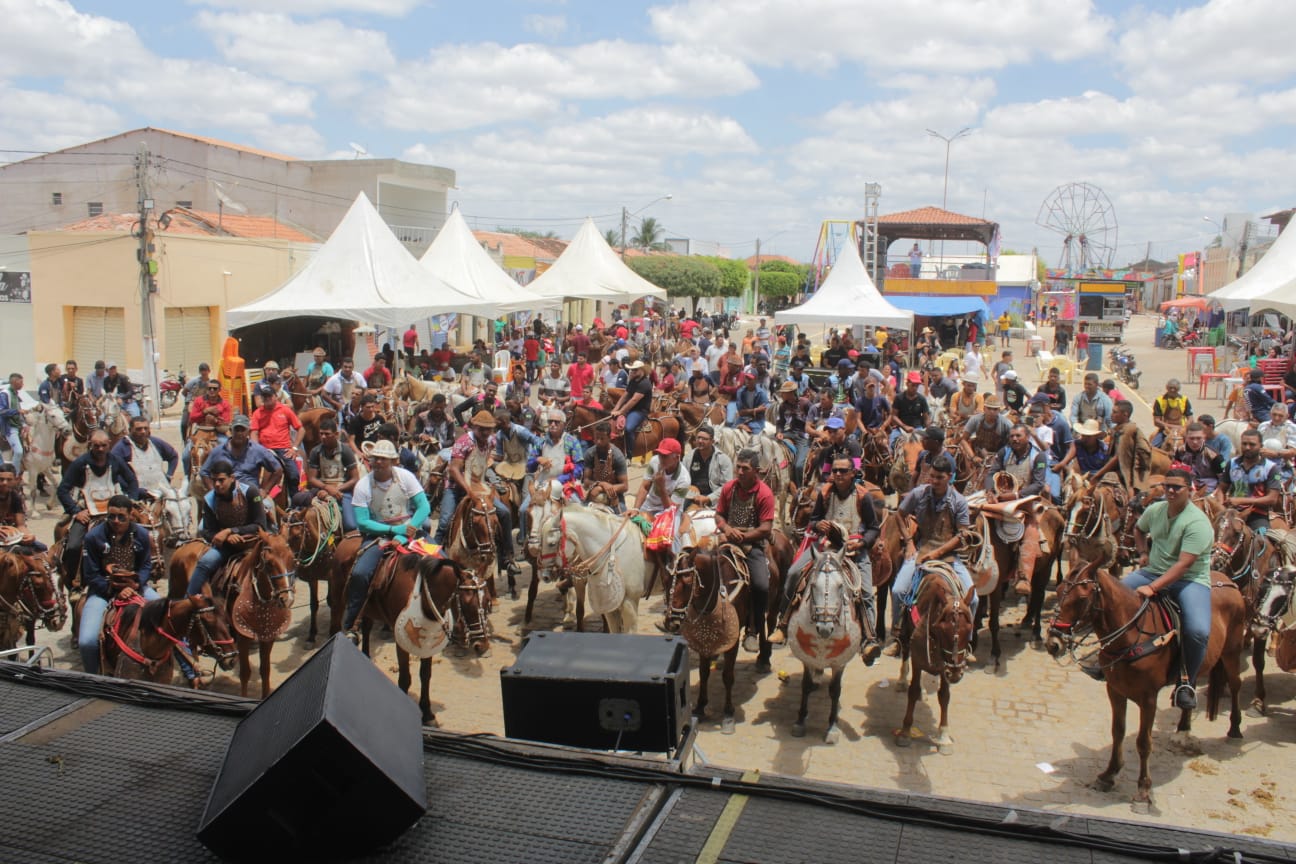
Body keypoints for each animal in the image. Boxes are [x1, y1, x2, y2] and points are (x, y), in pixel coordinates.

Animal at [168, 533, 295, 704]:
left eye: (292, 559)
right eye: (268, 564)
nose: (287, 599)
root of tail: (186, 544)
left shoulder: (268, 637)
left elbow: (265, 670)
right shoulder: (242, 637)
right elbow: (245, 672)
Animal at [896, 564, 974, 751]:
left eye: (969, 628)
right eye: (941, 629)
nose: (955, 673)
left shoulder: (943, 666)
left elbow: (944, 696)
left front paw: (943, 736)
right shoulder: (918, 659)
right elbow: (913, 690)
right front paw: (905, 732)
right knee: (905, 653)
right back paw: (902, 680)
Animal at [1041, 562, 1244, 813]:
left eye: (1081, 598)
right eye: (1059, 590)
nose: (1053, 643)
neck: (1130, 637)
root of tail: (1229, 581)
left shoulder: (1148, 699)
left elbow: (1144, 743)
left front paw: (1143, 792)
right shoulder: (1115, 690)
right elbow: (1117, 731)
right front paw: (1108, 775)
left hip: (1232, 651)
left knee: (1235, 685)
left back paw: (1235, 729)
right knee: (1192, 682)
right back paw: (1183, 726)